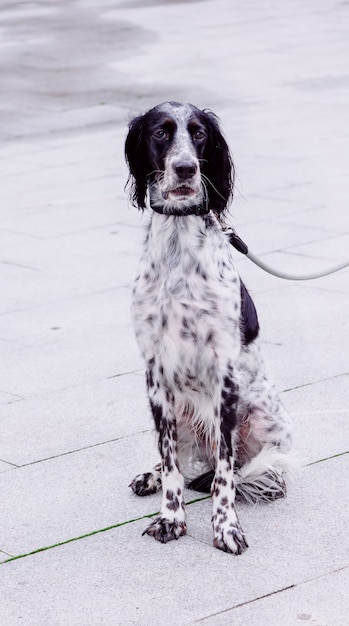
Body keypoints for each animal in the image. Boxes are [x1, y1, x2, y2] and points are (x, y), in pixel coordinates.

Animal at [123, 101, 292, 552]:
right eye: (161, 133)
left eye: (199, 134)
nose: (184, 168)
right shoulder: (155, 373)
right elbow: (171, 464)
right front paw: (170, 518)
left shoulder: (224, 374)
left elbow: (225, 472)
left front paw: (226, 527)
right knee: (178, 458)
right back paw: (151, 476)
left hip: (263, 412)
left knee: (259, 466)